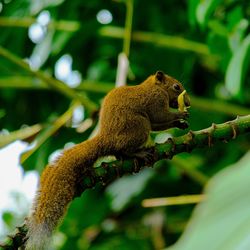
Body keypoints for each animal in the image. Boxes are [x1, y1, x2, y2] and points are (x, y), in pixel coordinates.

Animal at [24, 71, 189, 250]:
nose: (187, 102)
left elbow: (159, 124)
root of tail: (105, 139)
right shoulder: (155, 100)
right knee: (125, 147)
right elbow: (160, 116)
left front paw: (180, 123)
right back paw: (138, 154)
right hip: (139, 126)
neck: (154, 87)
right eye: (176, 87)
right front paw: (180, 115)